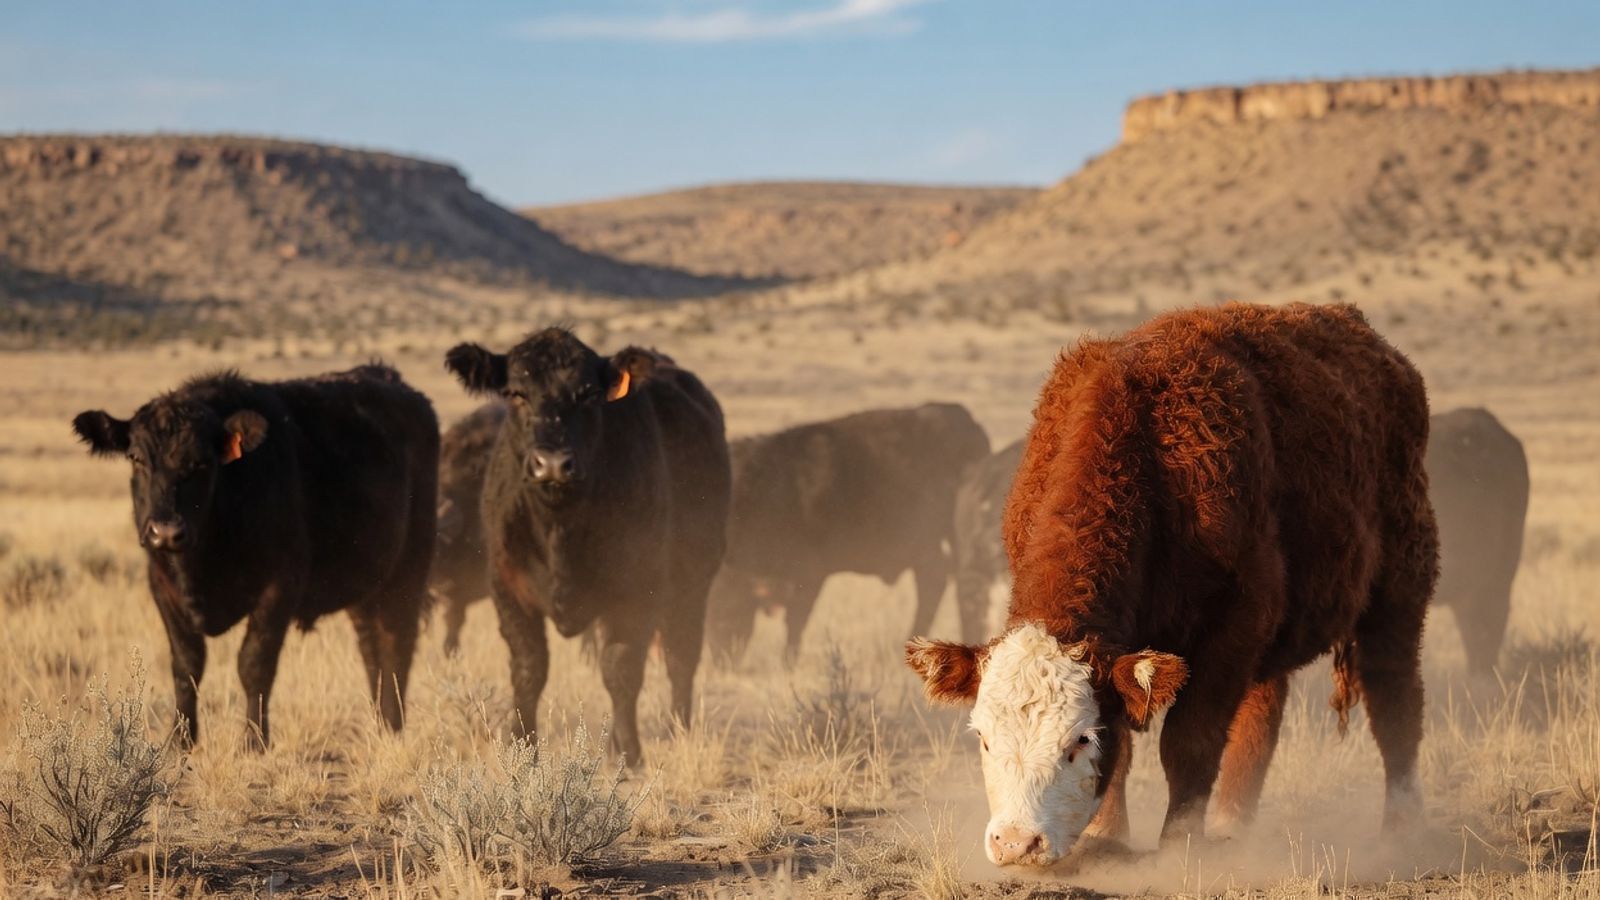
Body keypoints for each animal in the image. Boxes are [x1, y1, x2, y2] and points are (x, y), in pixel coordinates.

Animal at [71, 365, 438, 749]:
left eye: (202, 463)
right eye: (137, 458)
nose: (166, 531)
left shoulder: (278, 588)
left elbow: (254, 663)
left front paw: (254, 740)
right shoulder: (162, 587)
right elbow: (186, 665)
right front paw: (180, 739)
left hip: (409, 570)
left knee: (397, 643)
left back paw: (393, 724)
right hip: (367, 584)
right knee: (371, 647)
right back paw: (380, 721)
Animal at [444, 329, 731, 766]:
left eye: (590, 394)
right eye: (515, 393)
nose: (552, 464)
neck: (560, 527)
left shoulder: (637, 592)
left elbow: (621, 669)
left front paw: (629, 754)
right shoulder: (507, 588)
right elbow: (529, 669)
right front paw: (523, 746)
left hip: (692, 586)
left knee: (681, 656)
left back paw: (677, 728)